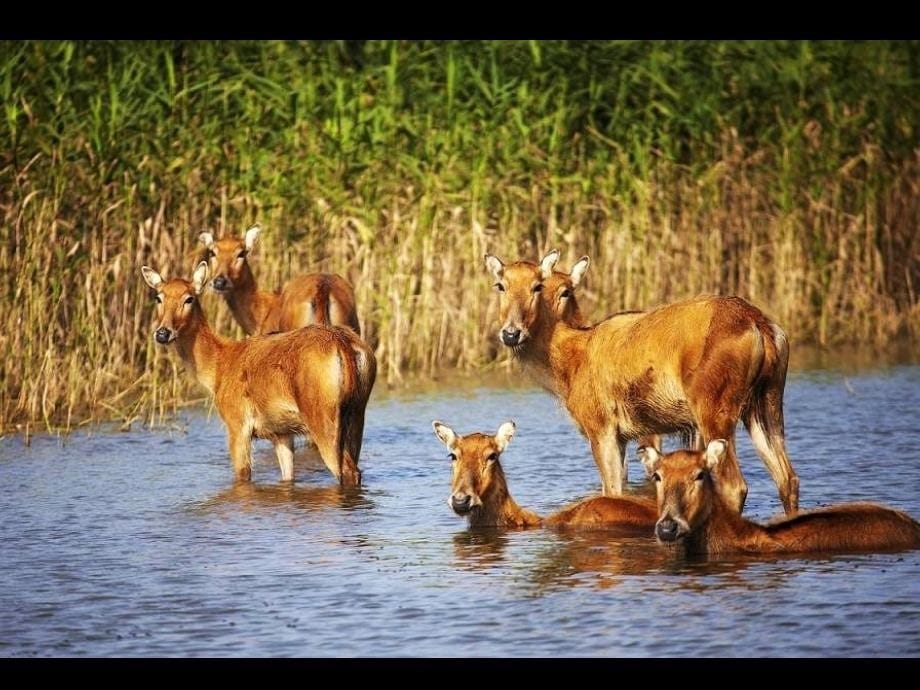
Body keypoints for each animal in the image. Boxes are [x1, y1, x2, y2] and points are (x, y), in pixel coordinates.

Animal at [141, 262, 378, 484]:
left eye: (189, 298)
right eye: (159, 298)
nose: (162, 333)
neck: (218, 368)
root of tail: (344, 344)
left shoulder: (237, 422)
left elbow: (243, 475)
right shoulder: (281, 432)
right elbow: (287, 475)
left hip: (322, 414)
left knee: (346, 470)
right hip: (358, 411)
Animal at [482, 247, 796, 510]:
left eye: (538, 286)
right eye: (500, 286)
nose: (511, 333)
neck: (567, 370)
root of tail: (761, 325)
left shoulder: (601, 426)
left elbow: (612, 492)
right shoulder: (623, 435)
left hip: (714, 405)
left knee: (735, 486)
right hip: (766, 401)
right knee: (787, 478)